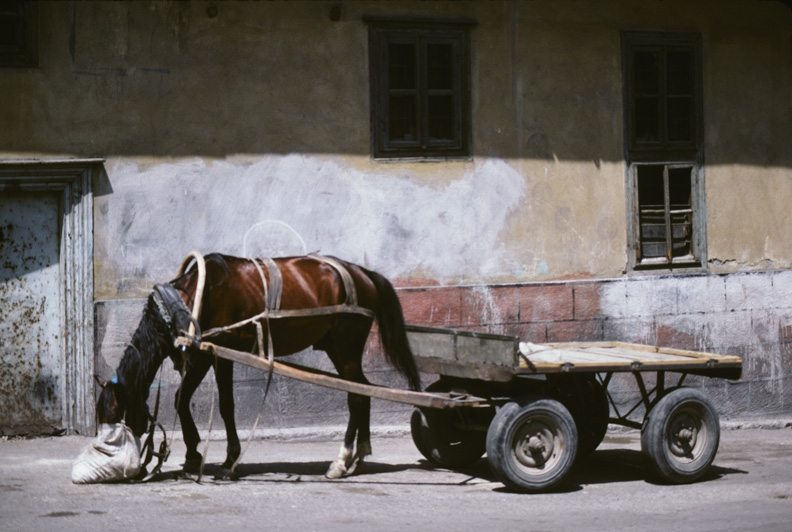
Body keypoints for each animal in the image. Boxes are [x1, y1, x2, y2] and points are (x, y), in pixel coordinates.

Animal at [96, 251, 424, 480]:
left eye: (113, 414)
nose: (129, 469)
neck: (187, 300)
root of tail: (364, 273)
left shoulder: (211, 355)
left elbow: (200, 402)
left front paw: (213, 459)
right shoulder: (214, 357)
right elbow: (205, 402)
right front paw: (209, 457)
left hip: (346, 345)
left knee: (356, 397)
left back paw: (341, 461)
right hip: (338, 347)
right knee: (363, 391)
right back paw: (360, 457)